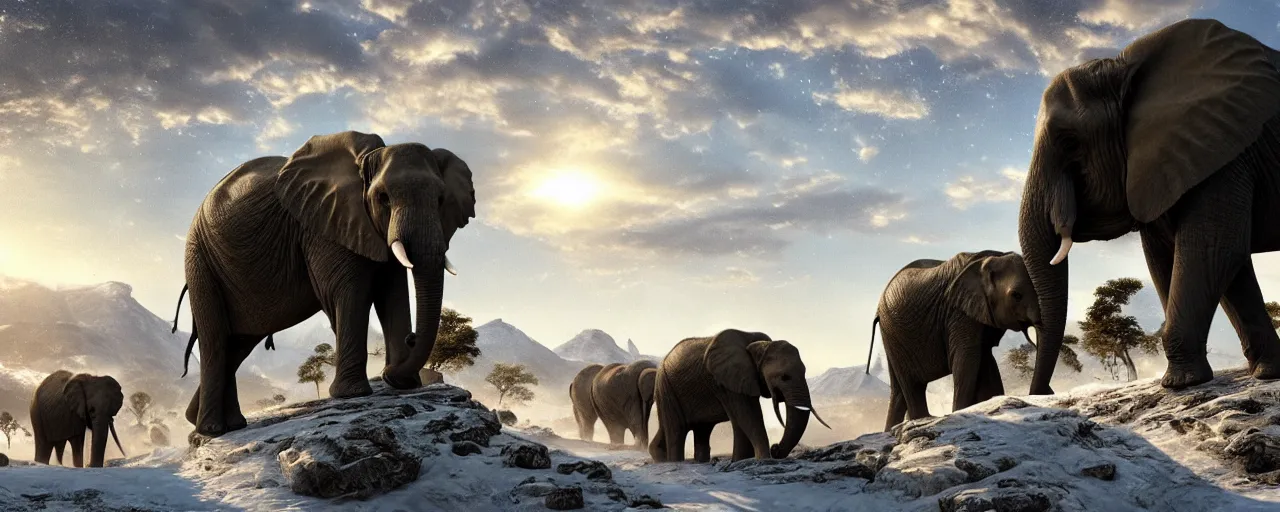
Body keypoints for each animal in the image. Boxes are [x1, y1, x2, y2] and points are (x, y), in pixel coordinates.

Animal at [650, 330, 829, 460]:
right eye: (784, 377)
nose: (776, 448)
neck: (757, 347)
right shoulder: (724, 382)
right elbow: (748, 415)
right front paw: (763, 459)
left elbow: (740, 420)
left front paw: (741, 460)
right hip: (665, 388)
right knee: (677, 431)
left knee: (702, 430)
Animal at [870, 249, 1039, 430]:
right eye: (1017, 295)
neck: (991, 258)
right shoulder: (959, 313)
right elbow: (967, 360)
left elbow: (986, 361)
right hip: (894, 332)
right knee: (912, 385)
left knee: (898, 391)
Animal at [1024, 16, 1280, 391]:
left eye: (1069, 143)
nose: (1046, 392)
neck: (1122, 71)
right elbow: (1189, 257)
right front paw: (1267, 373)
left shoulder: (1223, 152)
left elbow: (1213, 249)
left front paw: (1180, 383)